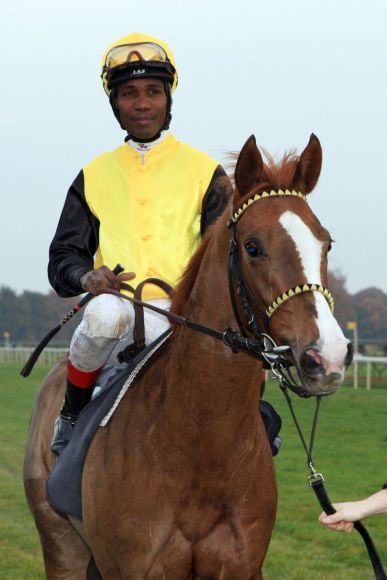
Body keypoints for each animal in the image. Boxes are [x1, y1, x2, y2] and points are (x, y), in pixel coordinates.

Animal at [23, 134, 352, 576]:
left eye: (326, 242)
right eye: (253, 247)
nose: (327, 356)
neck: (199, 446)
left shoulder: (241, 566)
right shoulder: (135, 568)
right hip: (61, 544)